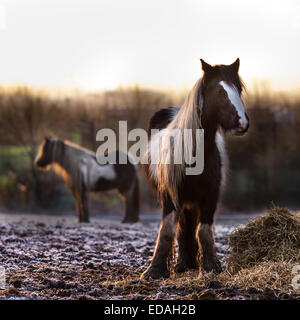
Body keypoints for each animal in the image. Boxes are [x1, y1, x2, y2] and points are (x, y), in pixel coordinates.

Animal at [142, 58, 250, 278]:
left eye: (239, 89)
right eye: (219, 91)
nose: (242, 122)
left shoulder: (210, 195)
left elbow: (204, 230)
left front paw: (210, 266)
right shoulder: (170, 195)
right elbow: (167, 230)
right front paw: (155, 270)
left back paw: (188, 262)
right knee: (183, 227)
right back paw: (184, 263)